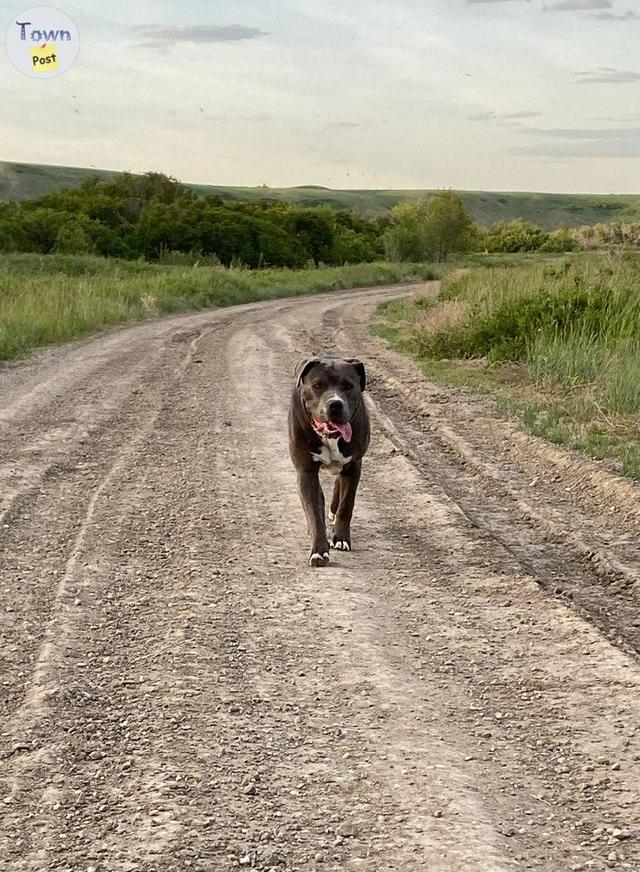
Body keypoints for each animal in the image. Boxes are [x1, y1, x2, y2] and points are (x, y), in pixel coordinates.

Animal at [288, 358, 370, 568]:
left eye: (348, 386)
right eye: (317, 385)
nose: (335, 404)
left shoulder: (354, 466)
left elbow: (346, 504)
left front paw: (341, 538)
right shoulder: (306, 472)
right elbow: (314, 511)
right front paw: (319, 550)